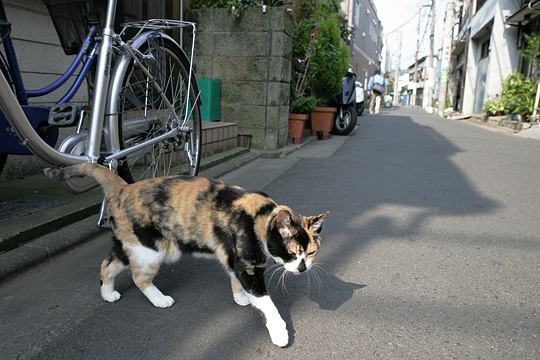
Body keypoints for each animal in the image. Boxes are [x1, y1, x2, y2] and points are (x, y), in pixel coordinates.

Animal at [44, 163, 326, 346]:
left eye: (311, 252)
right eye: (293, 252)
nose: (303, 268)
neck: (260, 217)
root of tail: (123, 188)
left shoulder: (234, 258)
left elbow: (234, 278)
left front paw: (241, 298)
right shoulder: (249, 265)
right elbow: (266, 302)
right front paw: (279, 332)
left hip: (131, 244)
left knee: (107, 264)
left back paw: (108, 294)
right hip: (151, 251)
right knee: (138, 278)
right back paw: (160, 300)